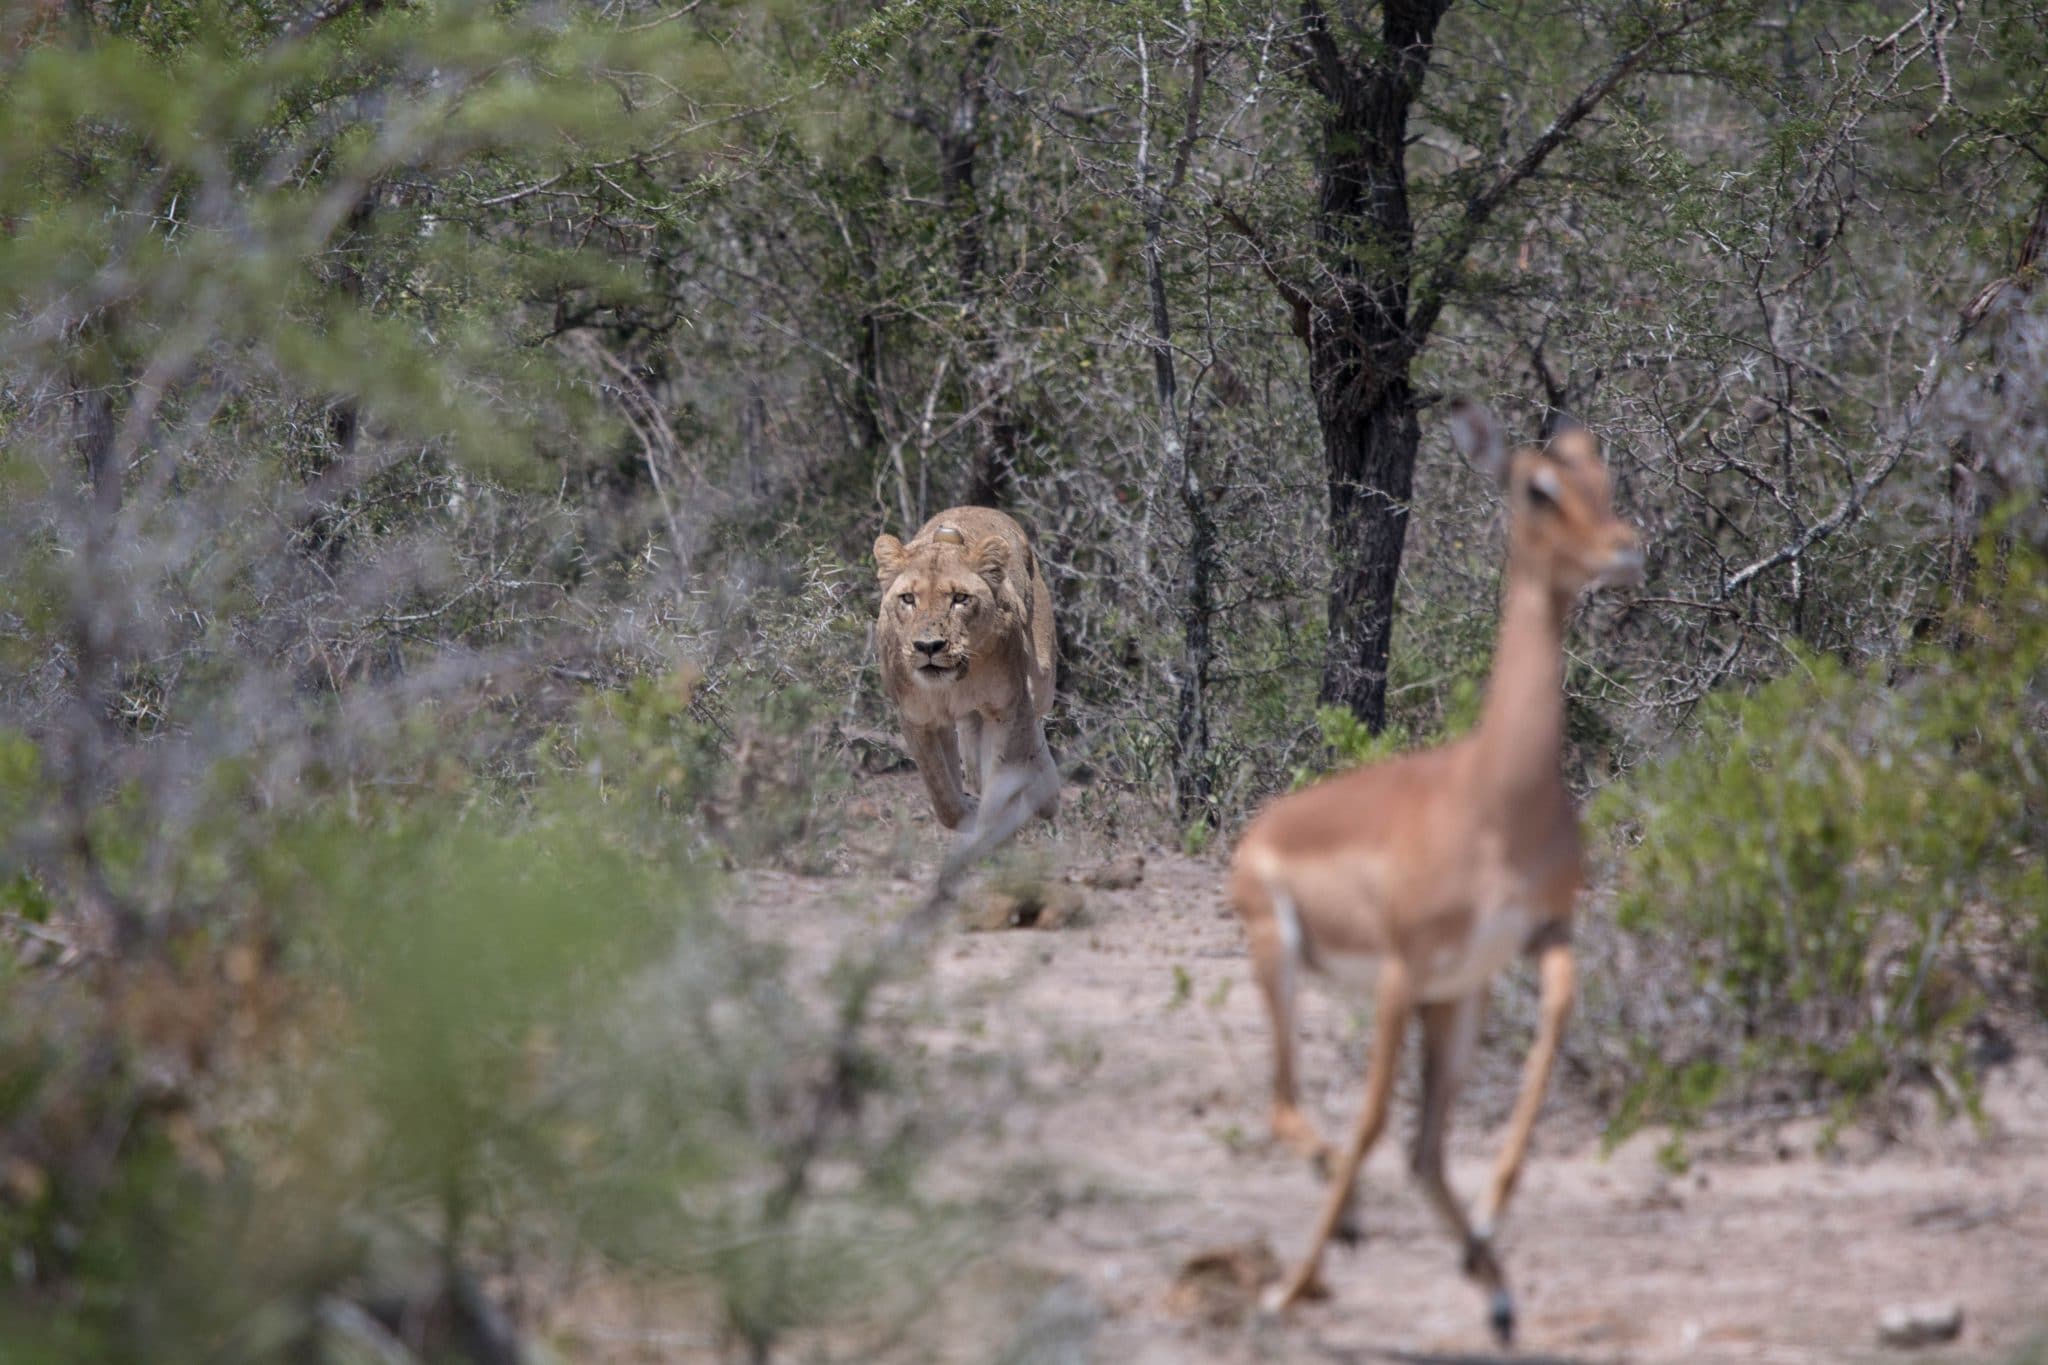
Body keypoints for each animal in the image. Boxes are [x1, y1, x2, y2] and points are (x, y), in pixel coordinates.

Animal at [873, 506, 1058, 839]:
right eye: (908, 599)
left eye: (959, 598)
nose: (928, 646)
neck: (955, 682)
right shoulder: (918, 718)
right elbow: (942, 792)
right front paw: (967, 813)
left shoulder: (1007, 707)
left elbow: (1001, 778)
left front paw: (992, 827)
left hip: (1041, 678)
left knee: (1034, 721)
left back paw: (1046, 795)